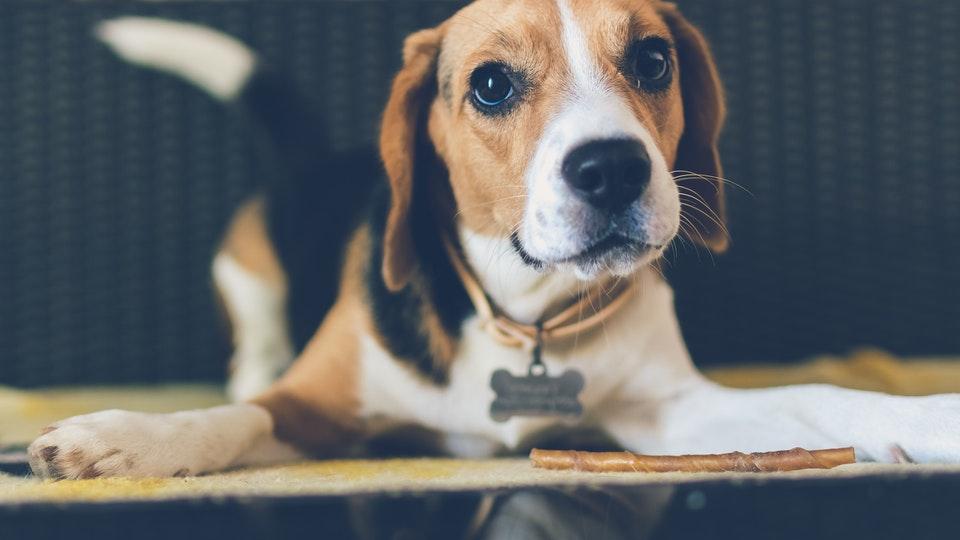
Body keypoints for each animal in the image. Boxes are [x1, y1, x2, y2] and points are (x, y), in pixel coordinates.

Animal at [28, 0, 960, 480]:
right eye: (490, 85)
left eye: (653, 61)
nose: (612, 170)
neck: (524, 315)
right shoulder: (313, 404)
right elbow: (227, 418)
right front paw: (124, 439)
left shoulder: (672, 410)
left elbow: (822, 397)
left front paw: (929, 417)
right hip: (246, 270)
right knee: (252, 355)